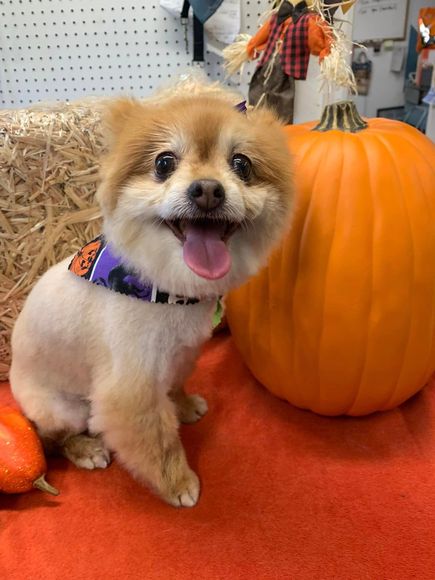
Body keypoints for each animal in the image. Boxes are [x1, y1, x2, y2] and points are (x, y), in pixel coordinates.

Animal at [10, 84, 294, 506]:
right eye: (164, 163)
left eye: (241, 165)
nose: (207, 190)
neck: (167, 287)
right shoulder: (131, 388)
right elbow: (158, 440)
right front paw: (177, 483)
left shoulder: (181, 353)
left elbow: (175, 384)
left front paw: (185, 405)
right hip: (61, 408)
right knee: (50, 438)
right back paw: (85, 449)